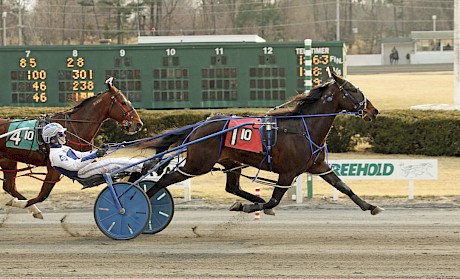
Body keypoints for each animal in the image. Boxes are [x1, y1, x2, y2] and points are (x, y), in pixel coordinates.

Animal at [1, 78, 143, 219]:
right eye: (123, 102)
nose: (138, 124)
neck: (74, 127)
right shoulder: (54, 167)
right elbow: (43, 194)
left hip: (8, 160)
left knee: (9, 186)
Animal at [146, 68, 382, 217]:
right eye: (353, 89)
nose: (374, 111)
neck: (303, 128)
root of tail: (199, 126)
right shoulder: (287, 172)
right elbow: (274, 200)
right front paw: (252, 207)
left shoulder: (319, 166)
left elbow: (344, 187)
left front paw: (370, 206)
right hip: (198, 164)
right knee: (164, 180)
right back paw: (144, 202)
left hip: (231, 163)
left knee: (232, 187)